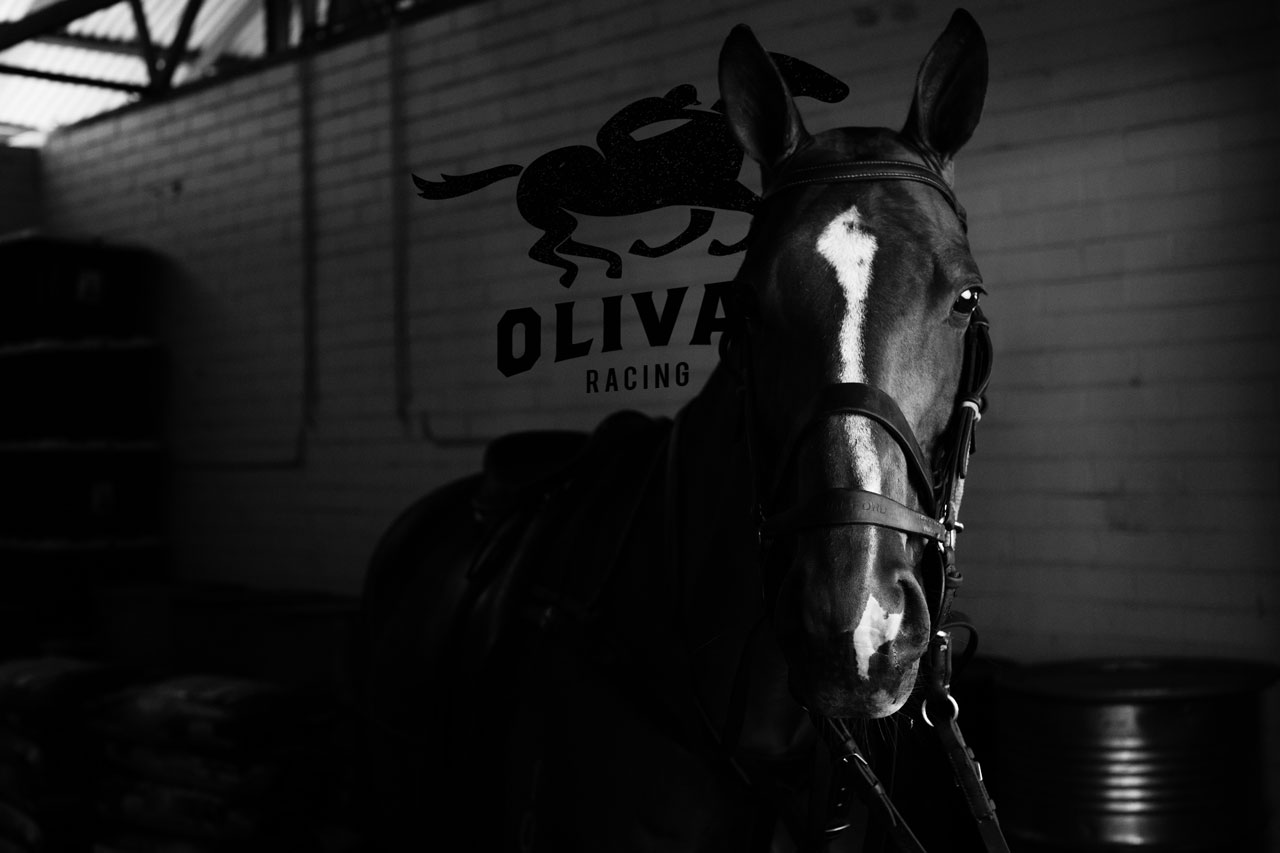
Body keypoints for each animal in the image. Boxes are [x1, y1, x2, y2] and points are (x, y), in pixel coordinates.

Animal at [412, 56, 849, 289]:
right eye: (797, 67)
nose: (841, 89)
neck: (711, 137)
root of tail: (523, 172)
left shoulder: (705, 197)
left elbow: (698, 230)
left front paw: (658, 249)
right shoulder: (714, 190)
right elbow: (743, 211)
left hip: (557, 217)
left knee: (556, 243)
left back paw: (608, 262)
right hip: (551, 214)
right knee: (545, 249)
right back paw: (589, 268)